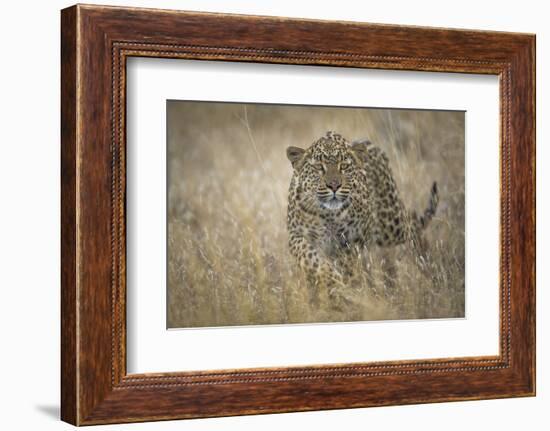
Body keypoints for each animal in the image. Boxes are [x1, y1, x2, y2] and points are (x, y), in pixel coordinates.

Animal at [288, 131, 440, 308]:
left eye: (344, 166)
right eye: (319, 167)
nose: (334, 186)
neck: (328, 215)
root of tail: (368, 143)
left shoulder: (351, 240)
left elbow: (347, 266)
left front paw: (346, 288)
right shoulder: (296, 236)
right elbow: (311, 259)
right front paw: (331, 280)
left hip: (391, 225)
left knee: (412, 223)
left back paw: (426, 259)